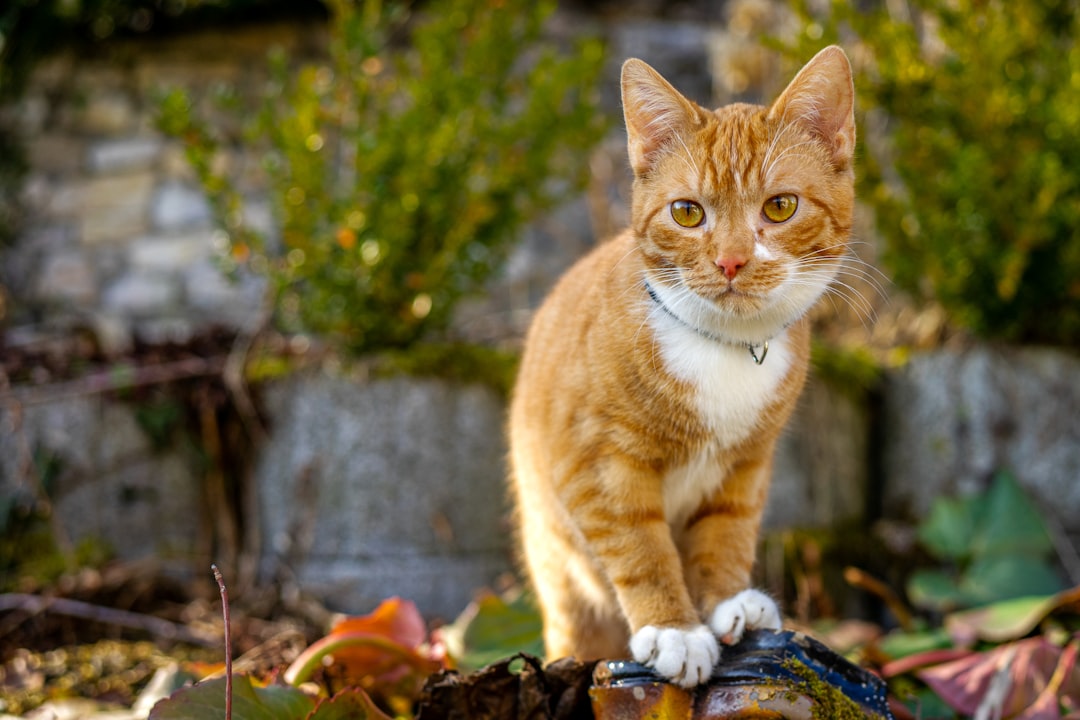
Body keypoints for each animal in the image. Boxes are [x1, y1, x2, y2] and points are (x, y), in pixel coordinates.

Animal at [505, 46, 851, 686]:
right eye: (688, 213)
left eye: (781, 206)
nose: (731, 261)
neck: (725, 348)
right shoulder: (599, 467)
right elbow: (643, 549)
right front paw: (675, 629)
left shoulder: (746, 465)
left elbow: (727, 533)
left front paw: (725, 602)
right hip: (558, 570)